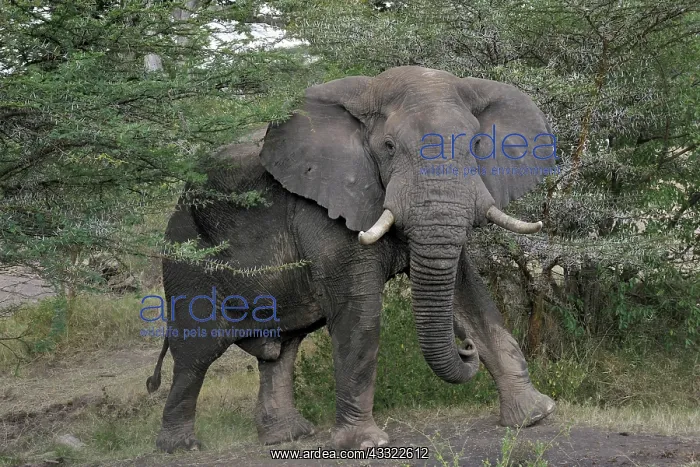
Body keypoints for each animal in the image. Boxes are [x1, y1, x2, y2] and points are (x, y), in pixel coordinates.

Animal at [146, 65, 558, 453]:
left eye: (475, 144)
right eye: (388, 146)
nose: (465, 348)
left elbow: (470, 297)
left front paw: (535, 416)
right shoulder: (323, 206)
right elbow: (361, 313)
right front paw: (365, 444)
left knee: (281, 349)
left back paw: (287, 437)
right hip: (185, 252)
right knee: (195, 353)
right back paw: (180, 446)